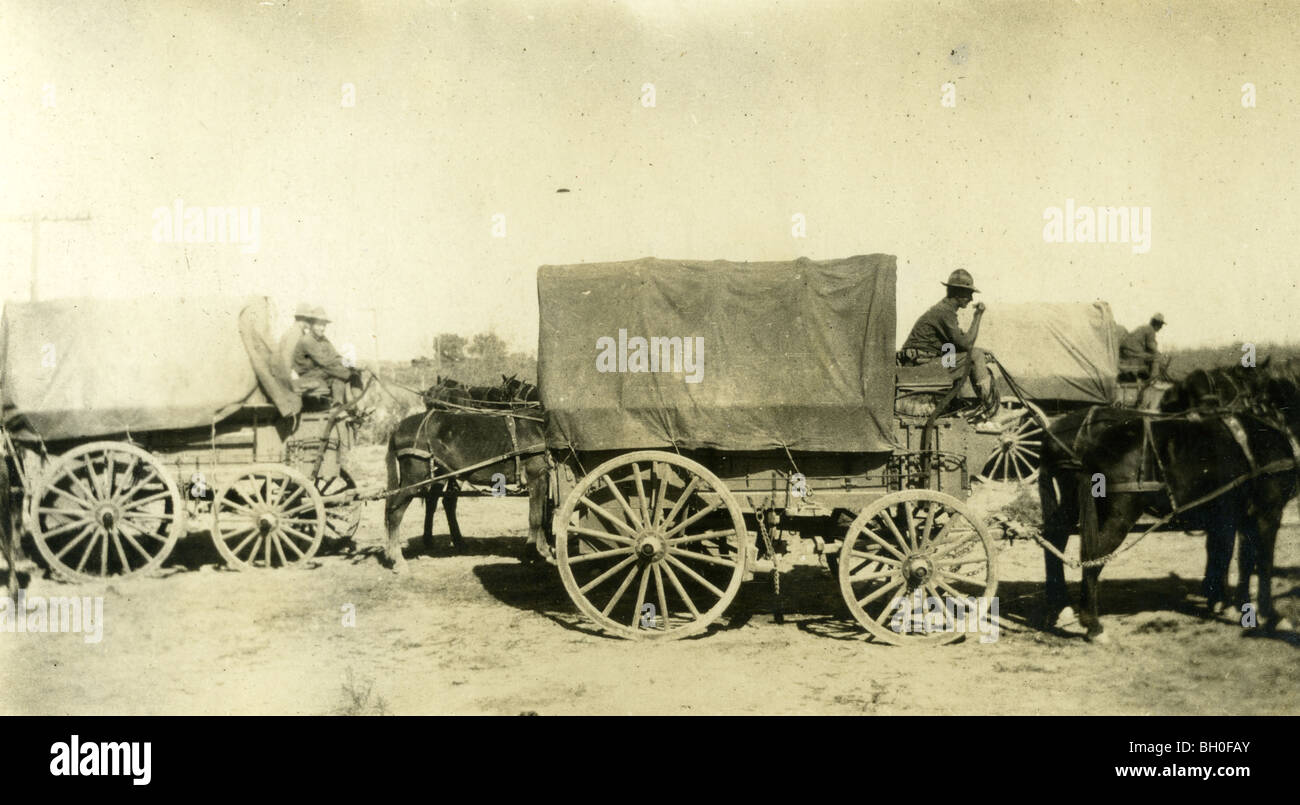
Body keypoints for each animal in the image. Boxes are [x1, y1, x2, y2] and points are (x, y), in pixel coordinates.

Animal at [382, 405, 551, 569]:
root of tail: (398, 427)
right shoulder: (536, 477)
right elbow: (535, 518)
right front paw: (532, 554)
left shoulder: (544, 480)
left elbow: (543, 516)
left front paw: (544, 550)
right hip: (413, 479)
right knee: (395, 514)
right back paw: (398, 560)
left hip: (443, 474)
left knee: (439, 503)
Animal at [1034, 364, 1300, 642]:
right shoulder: (1267, 513)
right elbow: (1262, 561)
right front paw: (1269, 614)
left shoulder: (1238, 515)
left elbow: (1241, 559)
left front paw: (1236, 605)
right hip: (1119, 513)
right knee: (1093, 555)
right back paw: (1093, 625)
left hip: (1074, 502)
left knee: (1055, 539)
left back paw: (1060, 607)